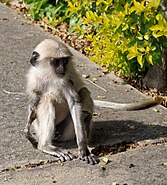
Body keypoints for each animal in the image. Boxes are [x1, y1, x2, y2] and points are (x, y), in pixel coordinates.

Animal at [25, 38, 159, 165]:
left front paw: (83, 149)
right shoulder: (35, 78)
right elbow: (34, 103)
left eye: (64, 61)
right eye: (56, 62)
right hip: (41, 127)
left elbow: (74, 102)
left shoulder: (65, 80)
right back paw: (45, 145)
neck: (50, 76)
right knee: (47, 99)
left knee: (82, 92)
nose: (62, 68)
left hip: (66, 132)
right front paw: (27, 131)